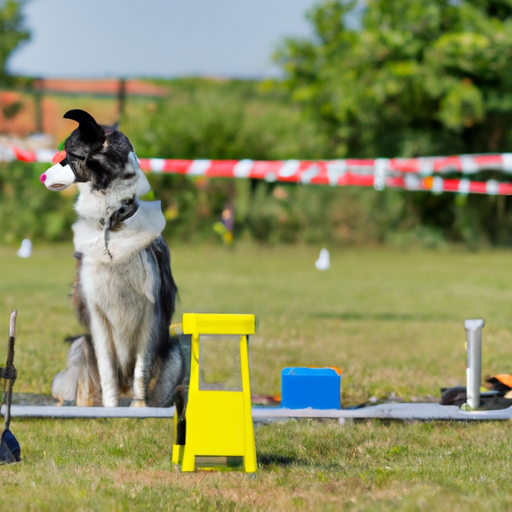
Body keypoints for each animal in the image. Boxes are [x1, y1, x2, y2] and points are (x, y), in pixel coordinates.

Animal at [41, 109, 186, 408]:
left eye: (68, 156)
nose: (41, 176)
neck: (112, 222)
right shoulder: (97, 315)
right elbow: (107, 370)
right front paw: (110, 409)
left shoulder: (151, 314)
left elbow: (141, 369)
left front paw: (139, 409)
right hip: (79, 347)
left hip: (176, 353)